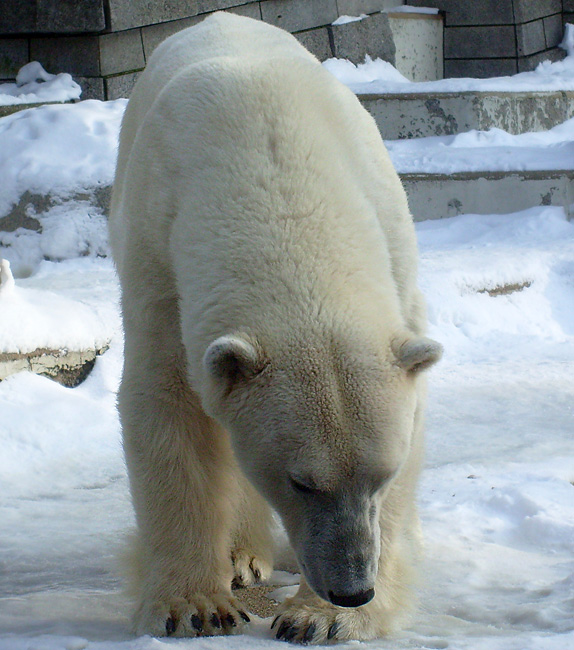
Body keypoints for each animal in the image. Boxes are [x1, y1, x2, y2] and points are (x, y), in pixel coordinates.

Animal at [110, 10, 446, 644]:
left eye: (382, 475)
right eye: (301, 482)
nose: (352, 588)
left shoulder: (391, 243)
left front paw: (322, 620)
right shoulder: (157, 257)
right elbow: (167, 402)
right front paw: (193, 606)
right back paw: (239, 558)